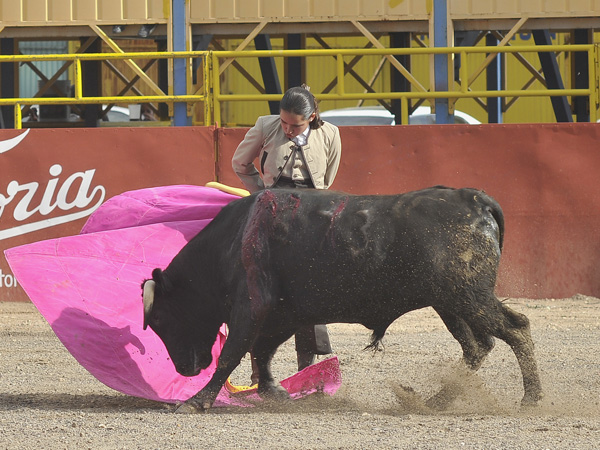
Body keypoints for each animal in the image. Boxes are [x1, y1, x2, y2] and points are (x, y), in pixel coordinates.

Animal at [142, 185, 544, 412]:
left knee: (516, 329)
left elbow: (233, 353)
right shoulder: (282, 314)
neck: (233, 238)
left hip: (468, 295)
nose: (185, 369)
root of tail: (473, 199)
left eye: (159, 318)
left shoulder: (252, 305)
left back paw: (530, 399)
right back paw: (430, 402)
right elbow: (262, 352)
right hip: (451, 302)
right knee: (478, 346)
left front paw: (195, 402)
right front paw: (275, 393)